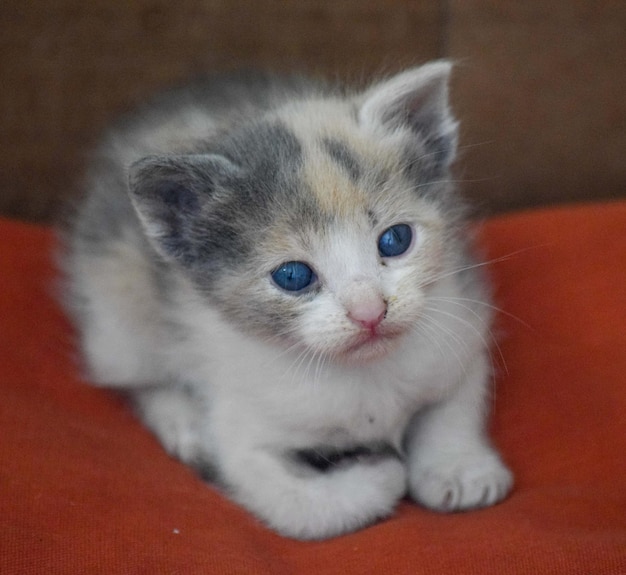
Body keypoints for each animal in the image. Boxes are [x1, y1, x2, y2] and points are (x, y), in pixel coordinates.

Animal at [61, 62, 512, 540]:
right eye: (293, 276)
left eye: (396, 240)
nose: (369, 312)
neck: (363, 375)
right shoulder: (243, 434)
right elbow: (298, 507)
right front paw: (380, 473)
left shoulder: (459, 326)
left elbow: (453, 408)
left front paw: (460, 470)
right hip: (115, 315)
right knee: (137, 379)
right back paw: (184, 423)